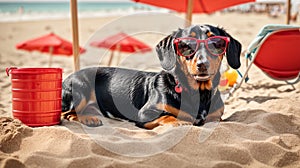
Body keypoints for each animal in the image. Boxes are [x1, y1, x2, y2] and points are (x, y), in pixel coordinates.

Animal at [61, 24, 241, 129]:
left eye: (216, 42)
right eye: (186, 45)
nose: (203, 64)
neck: (199, 93)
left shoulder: (215, 118)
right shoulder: (144, 113)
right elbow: (168, 115)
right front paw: (180, 121)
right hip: (80, 91)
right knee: (65, 113)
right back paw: (88, 118)